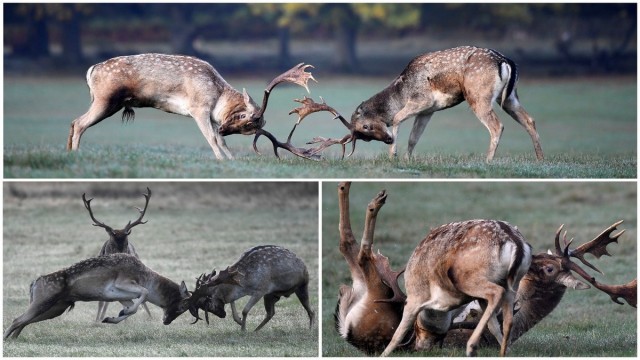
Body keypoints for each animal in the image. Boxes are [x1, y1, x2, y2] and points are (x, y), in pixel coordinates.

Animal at [2, 252, 240, 338]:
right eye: (182, 306)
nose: (166, 321)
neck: (145, 275)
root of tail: (34, 283)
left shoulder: (116, 294)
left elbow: (131, 307)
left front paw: (112, 317)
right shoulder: (121, 283)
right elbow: (143, 293)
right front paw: (116, 315)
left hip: (55, 307)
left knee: (22, 322)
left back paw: (14, 340)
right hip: (43, 300)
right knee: (16, 320)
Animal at [67, 53, 318, 159]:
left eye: (249, 129)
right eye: (243, 117)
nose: (225, 128)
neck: (216, 95)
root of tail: (91, 70)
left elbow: (220, 141)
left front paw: (230, 161)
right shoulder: (198, 108)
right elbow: (212, 139)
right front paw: (220, 159)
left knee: (74, 122)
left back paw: (69, 152)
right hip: (106, 99)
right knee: (79, 123)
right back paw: (76, 154)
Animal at [188, 245, 316, 332]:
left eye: (207, 303)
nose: (222, 315)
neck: (245, 283)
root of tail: (304, 265)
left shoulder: (261, 289)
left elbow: (245, 310)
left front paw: (243, 329)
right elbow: (233, 305)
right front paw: (240, 322)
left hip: (302, 285)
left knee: (311, 311)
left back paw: (311, 329)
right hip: (272, 295)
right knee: (271, 313)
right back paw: (256, 330)